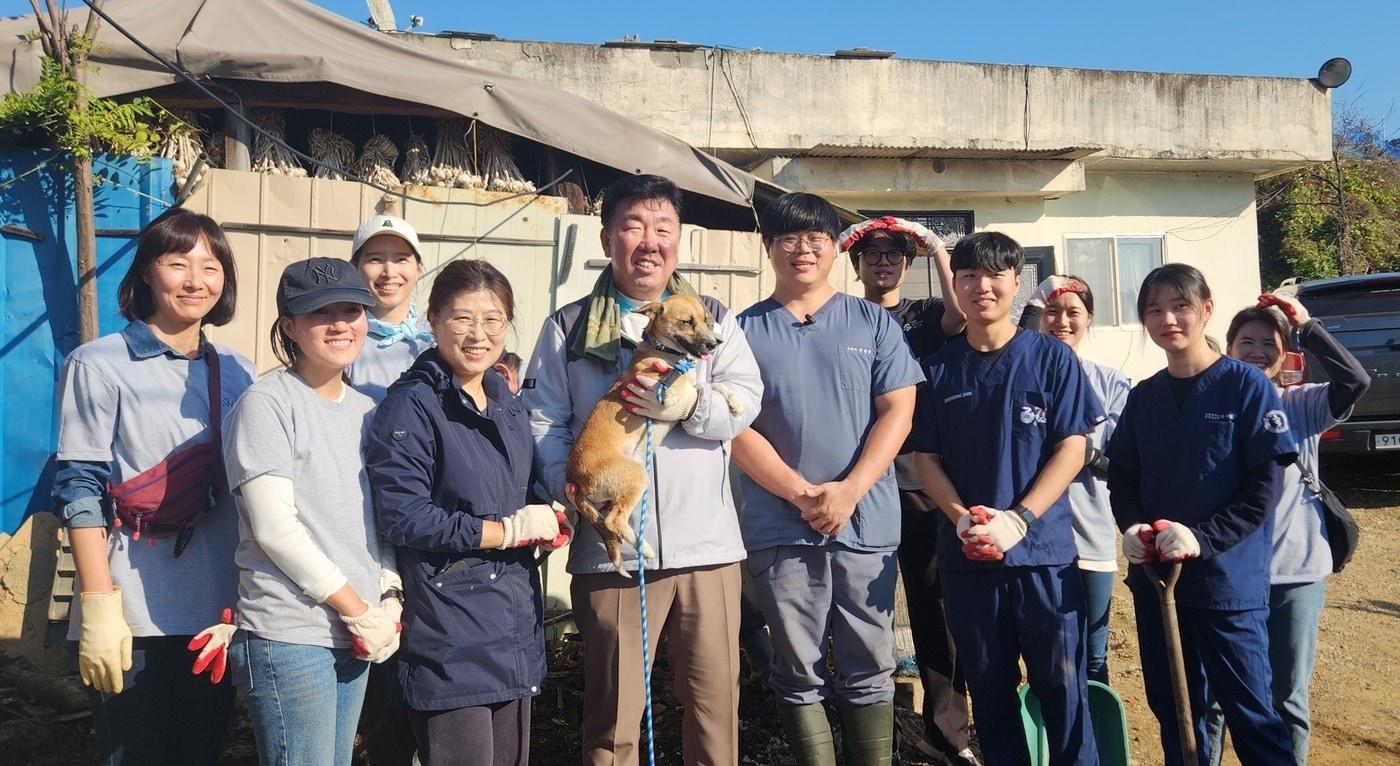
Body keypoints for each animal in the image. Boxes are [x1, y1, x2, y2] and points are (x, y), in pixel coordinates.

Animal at [565, 296, 750, 579]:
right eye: (687, 322)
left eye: (707, 320)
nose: (714, 343)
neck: (663, 352)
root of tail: (574, 477)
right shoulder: (661, 384)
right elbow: (692, 383)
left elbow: (710, 385)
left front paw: (735, 402)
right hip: (636, 477)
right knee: (614, 520)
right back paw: (647, 550)